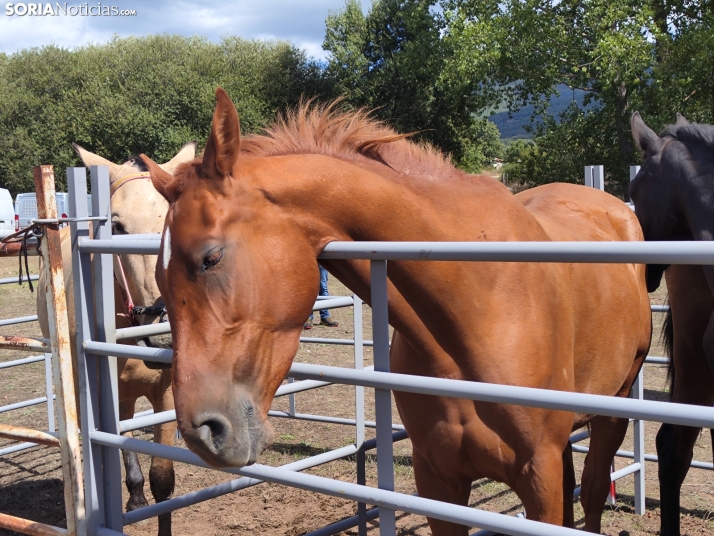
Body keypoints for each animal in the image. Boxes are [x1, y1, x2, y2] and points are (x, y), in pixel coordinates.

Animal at [143, 90, 652, 532]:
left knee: (591, 491)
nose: (200, 431)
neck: (476, 308)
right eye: (160, 279)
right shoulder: (438, 480)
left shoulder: (538, 475)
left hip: (615, 407)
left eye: (210, 257)